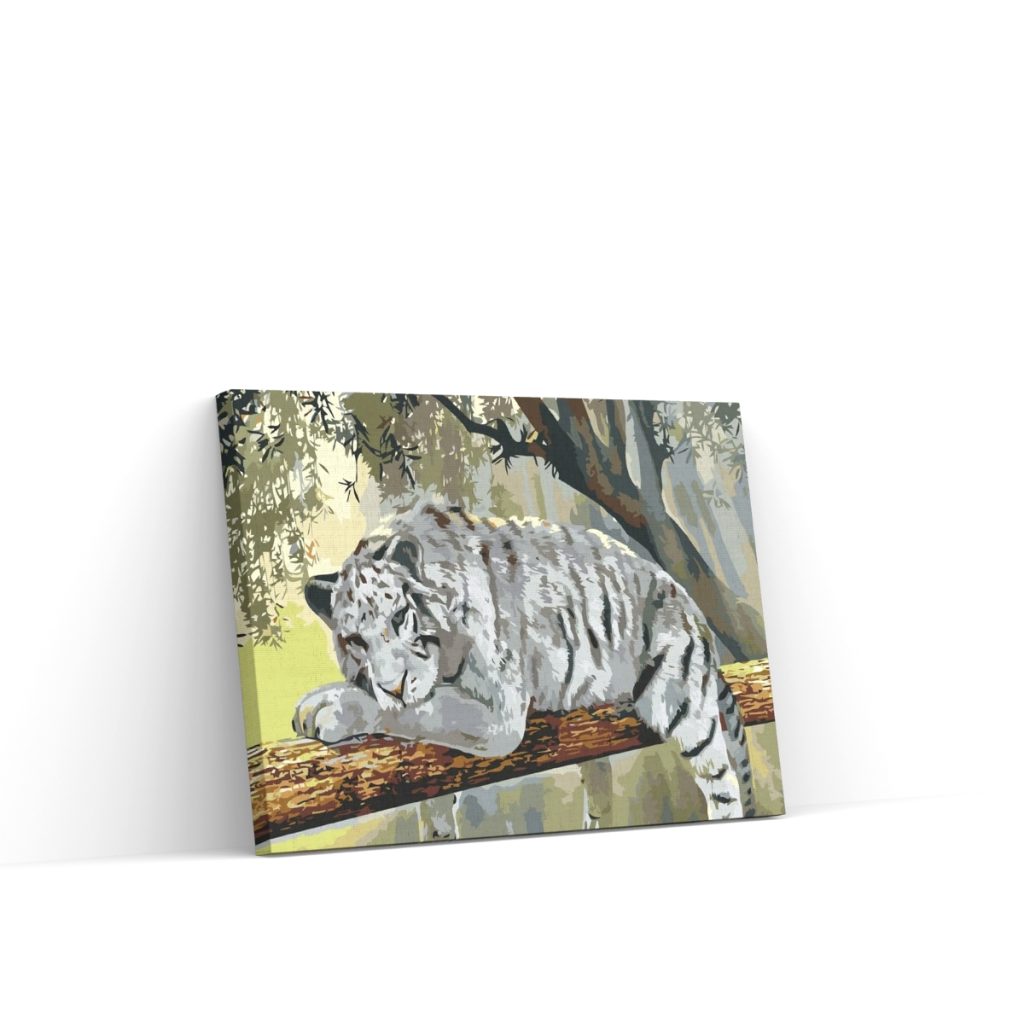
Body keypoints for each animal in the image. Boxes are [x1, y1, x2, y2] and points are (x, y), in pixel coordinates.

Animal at [295, 498, 755, 822]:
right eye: (355, 640)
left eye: (399, 616)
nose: (393, 684)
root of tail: (692, 608)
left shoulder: (500, 716)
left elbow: (421, 711)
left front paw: (330, 707)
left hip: (684, 710)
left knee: (723, 785)